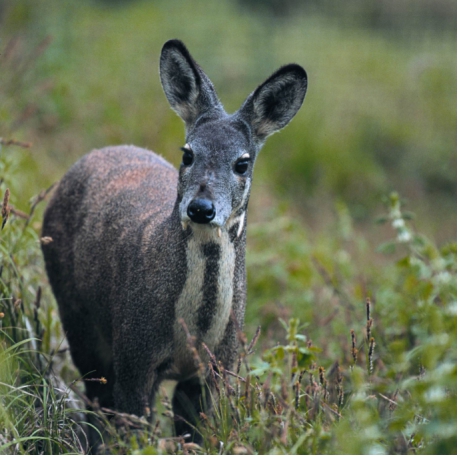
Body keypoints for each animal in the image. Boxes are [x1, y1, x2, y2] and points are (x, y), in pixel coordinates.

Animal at [42, 40, 308, 446]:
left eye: (242, 163)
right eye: (188, 153)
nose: (201, 208)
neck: (193, 332)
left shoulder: (215, 368)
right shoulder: (134, 352)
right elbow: (132, 428)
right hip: (76, 314)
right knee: (95, 397)